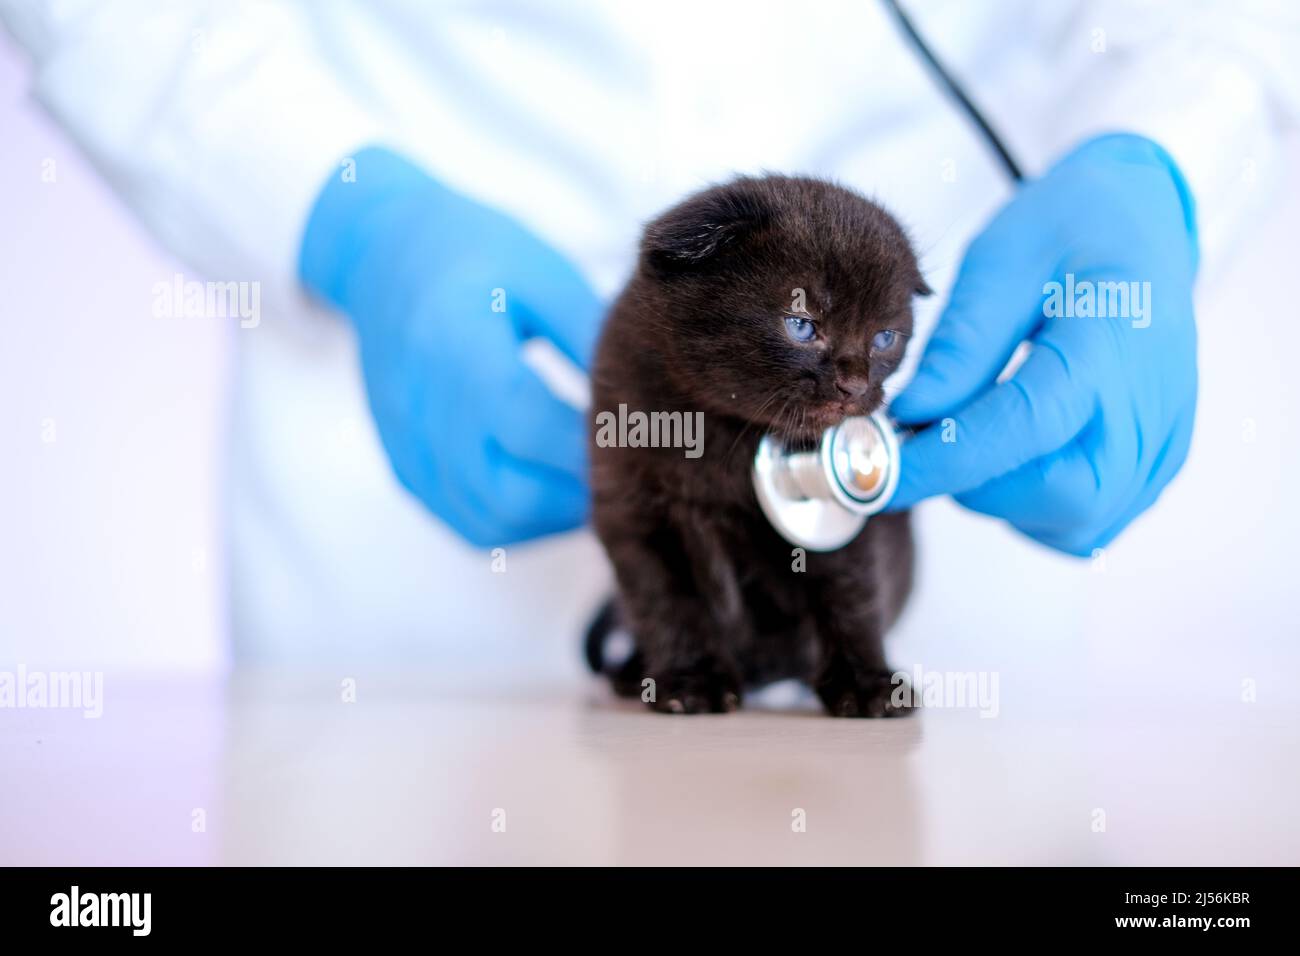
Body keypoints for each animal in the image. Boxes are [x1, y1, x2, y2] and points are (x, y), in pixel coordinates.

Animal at [585, 174, 930, 717]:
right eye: (801, 324)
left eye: (884, 338)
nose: (855, 386)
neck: (722, 436)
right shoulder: (636, 514)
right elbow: (667, 601)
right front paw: (692, 680)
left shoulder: (839, 532)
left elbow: (849, 596)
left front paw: (865, 682)